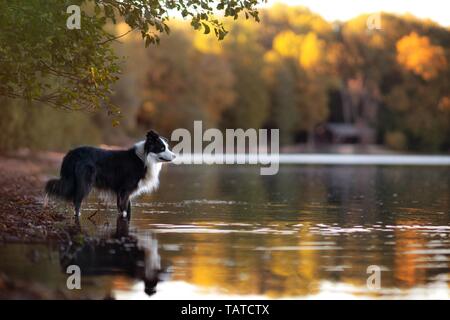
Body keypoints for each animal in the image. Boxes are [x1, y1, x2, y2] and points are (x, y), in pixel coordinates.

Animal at [44, 129, 174, 218]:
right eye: (162, 148)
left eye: (167, 147)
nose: (174, 156)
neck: (144, 160)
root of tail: (71, 154)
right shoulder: (125, 189)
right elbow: (123, 209)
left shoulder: (124, 191)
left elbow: (127, 209)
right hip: (85, 181)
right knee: (77, 200)